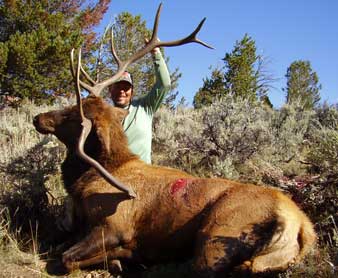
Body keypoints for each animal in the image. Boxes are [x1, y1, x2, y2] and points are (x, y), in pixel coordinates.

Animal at [33, 3, 316, 276]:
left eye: (73, 114)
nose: (38, 118)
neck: (86, 179)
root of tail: (300, 226)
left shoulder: (114, 226)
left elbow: (66, 258)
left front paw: (120, 259)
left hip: (215, 236)